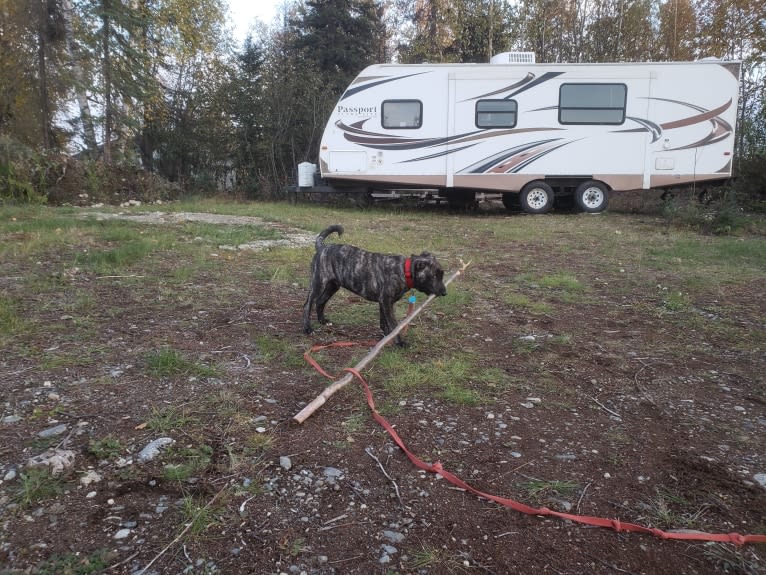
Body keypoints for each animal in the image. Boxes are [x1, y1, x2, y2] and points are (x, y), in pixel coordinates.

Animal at [302, 224, 448, 346]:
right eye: (435, 276)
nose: (444, 293)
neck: (403, 270)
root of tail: (323, 247)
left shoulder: (384, 303)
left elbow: (384, 322)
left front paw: (386, 336)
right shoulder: (386, 301)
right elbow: (393, 324)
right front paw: (399, 341)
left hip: (332, 286)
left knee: (320, 301)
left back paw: (323, 321)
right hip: (318, 283)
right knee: (308, 304)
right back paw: (307, 328)